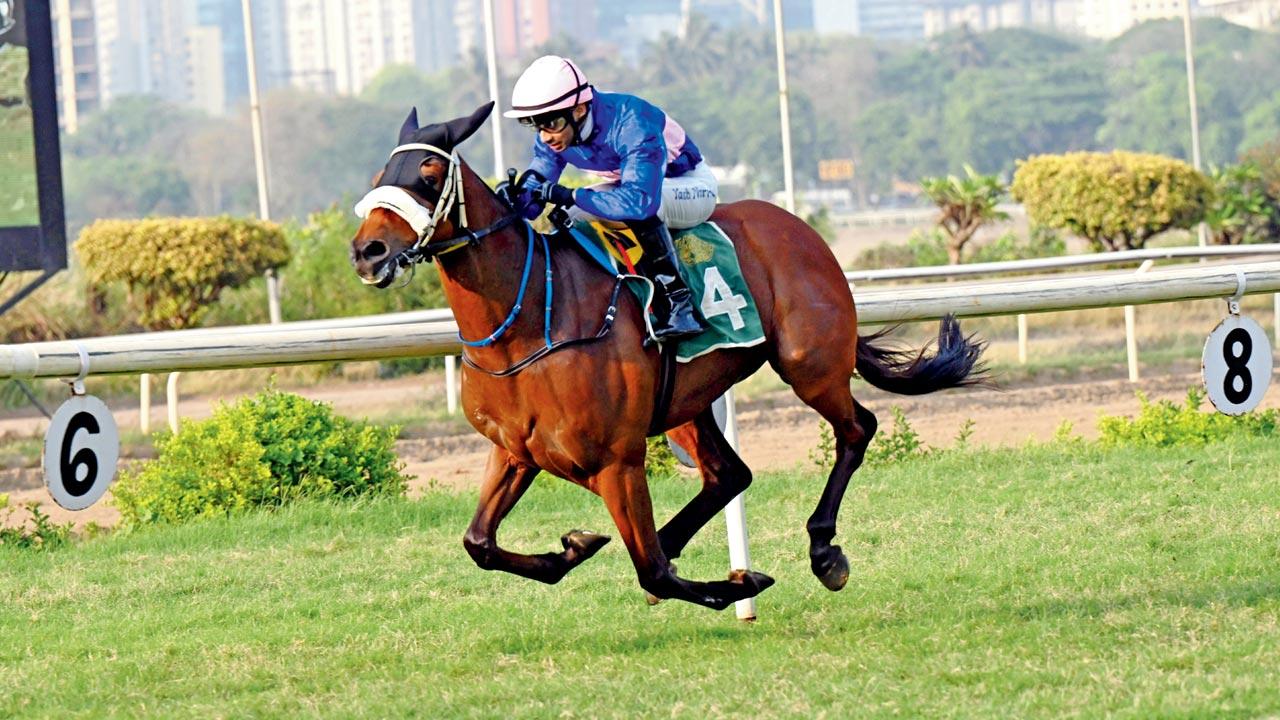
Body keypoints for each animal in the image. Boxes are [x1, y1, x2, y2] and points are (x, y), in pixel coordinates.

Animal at [349, 102, 986, 610]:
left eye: (429, 173)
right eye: (383, 175)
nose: (367, 251)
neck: (530, 321)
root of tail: (799, 228)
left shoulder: (616, 461)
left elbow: (649, 569)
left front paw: (738, 584)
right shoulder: (515, 451)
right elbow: (479, 543)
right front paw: (574, 548)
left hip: (810, 364)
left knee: (857, 429)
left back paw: (824, 549)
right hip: (687, 404)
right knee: (730, 473)